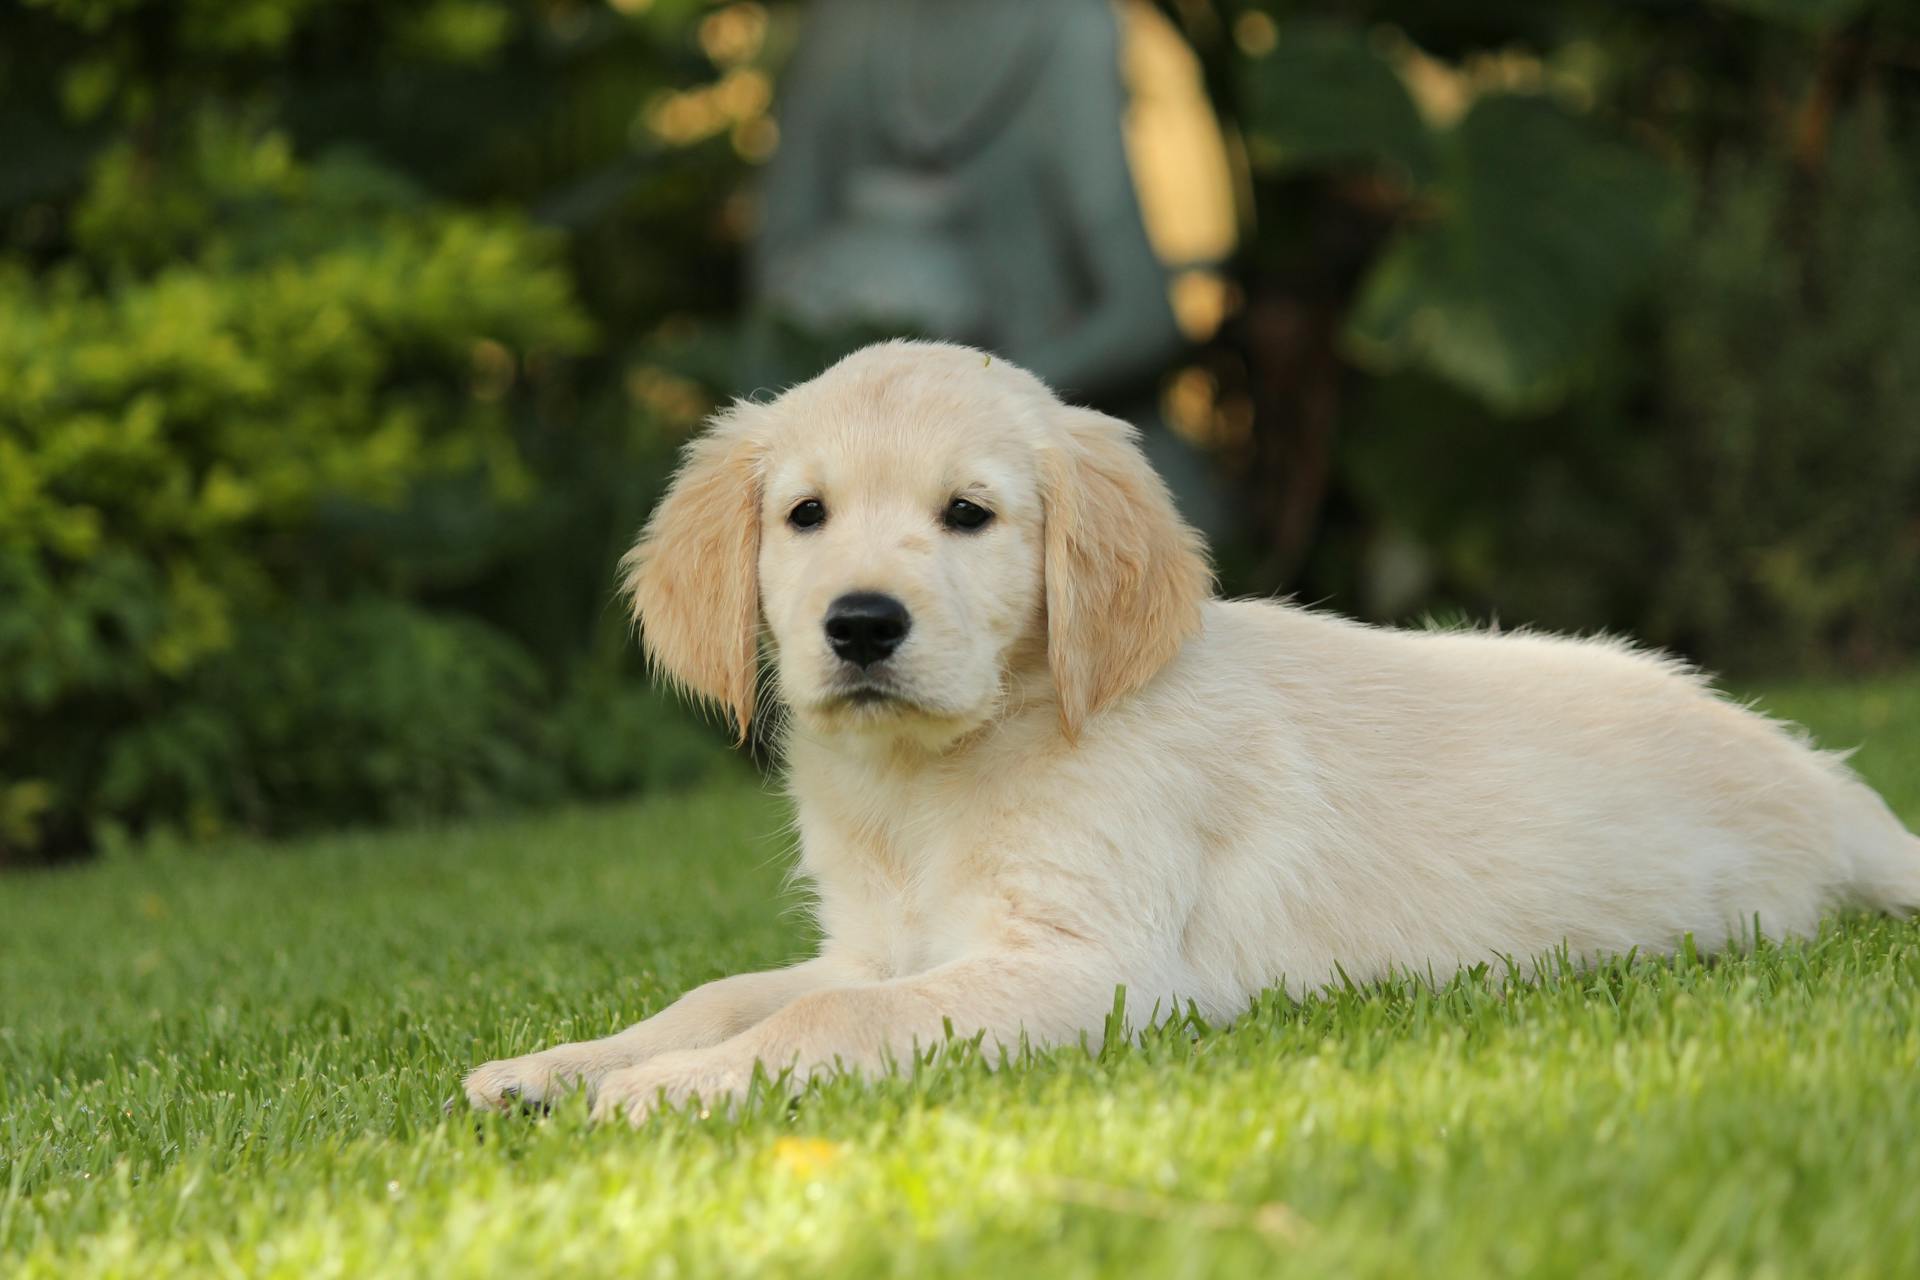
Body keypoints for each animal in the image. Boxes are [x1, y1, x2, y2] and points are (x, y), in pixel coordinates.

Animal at [456, 337, 1912, 1120]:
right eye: (804, 516)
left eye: (970, 515)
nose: (861, 625)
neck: (943, 772)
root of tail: (1822, 782)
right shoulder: (877, 940)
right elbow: (724, 994)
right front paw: (557, 1066)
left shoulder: (1088, 965)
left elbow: (829, 1023)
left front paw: (663, 1094)